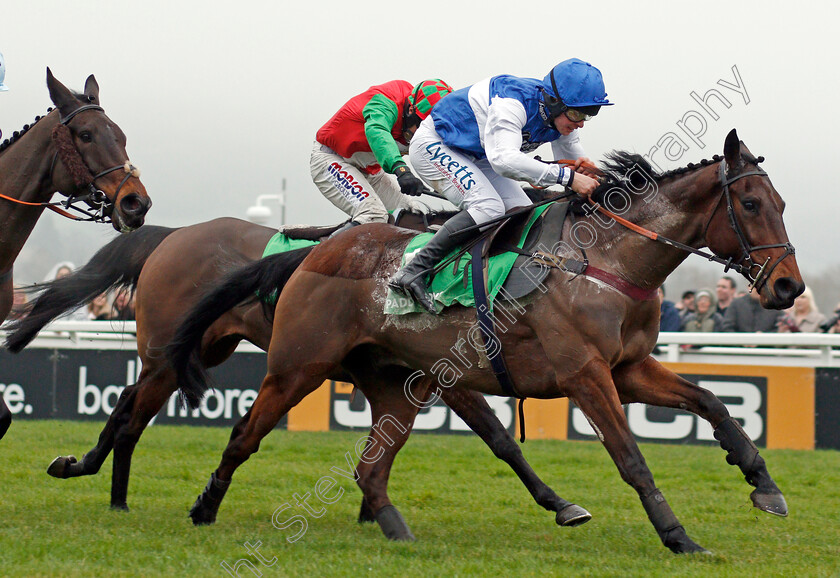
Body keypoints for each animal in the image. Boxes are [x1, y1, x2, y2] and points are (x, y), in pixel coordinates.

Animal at [3, 209, 592, 536]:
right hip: (174, 354)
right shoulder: (441, 372)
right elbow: (499, 438)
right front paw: (560, 503)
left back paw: (90, 472)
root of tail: (174, 234)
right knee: (132, 411)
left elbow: (484, 438)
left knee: (128, 397)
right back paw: (109, 486)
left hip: (194, 351)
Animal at [171, 128, 808, 552]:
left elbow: (713, 403)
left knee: (371, 469)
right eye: (751, 203)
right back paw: (204, 507)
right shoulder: (584, 374)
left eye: (780, 203)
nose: (788, 287)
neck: (604, 260)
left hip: (397, 386)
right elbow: (629, 456)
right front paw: (677, 536)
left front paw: (765, 486)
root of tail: (315, 252)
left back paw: (397, 532)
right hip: (297, 367)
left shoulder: (627, 368)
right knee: (244, 435)